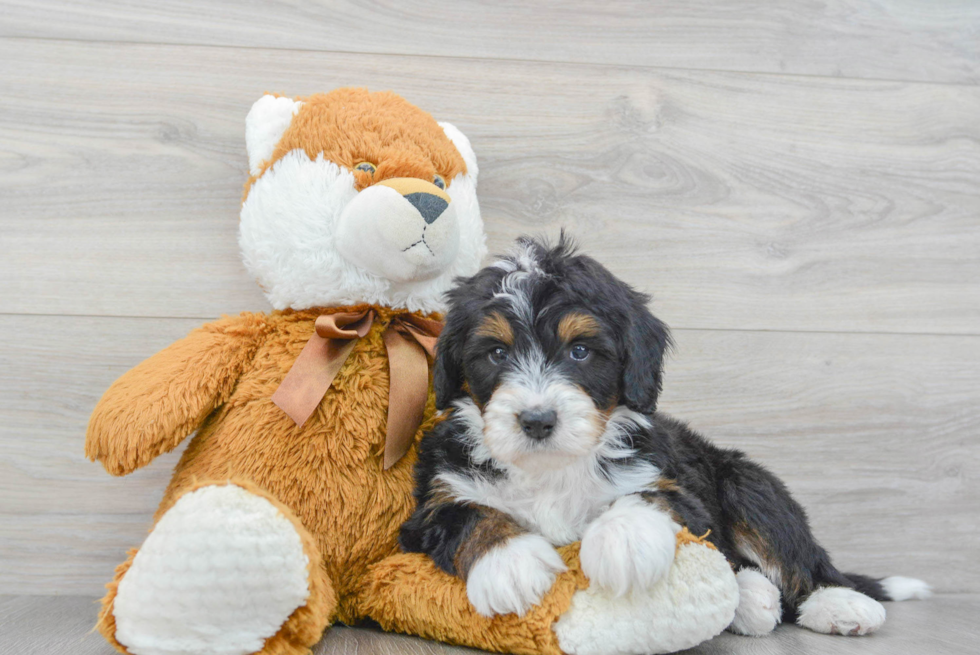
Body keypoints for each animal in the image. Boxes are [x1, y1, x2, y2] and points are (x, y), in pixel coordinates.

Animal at [400, 236, 936, 636]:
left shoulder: (674, 485)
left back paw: (838, 603)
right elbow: (467, 514)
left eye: (579, 351)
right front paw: (510, 562)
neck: (553, 468)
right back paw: (752, 599)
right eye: (495, 353)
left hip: (748, 483)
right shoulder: (431, 500)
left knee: (800, 560)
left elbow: (645, 497)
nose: (536, 420)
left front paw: (624, 541)